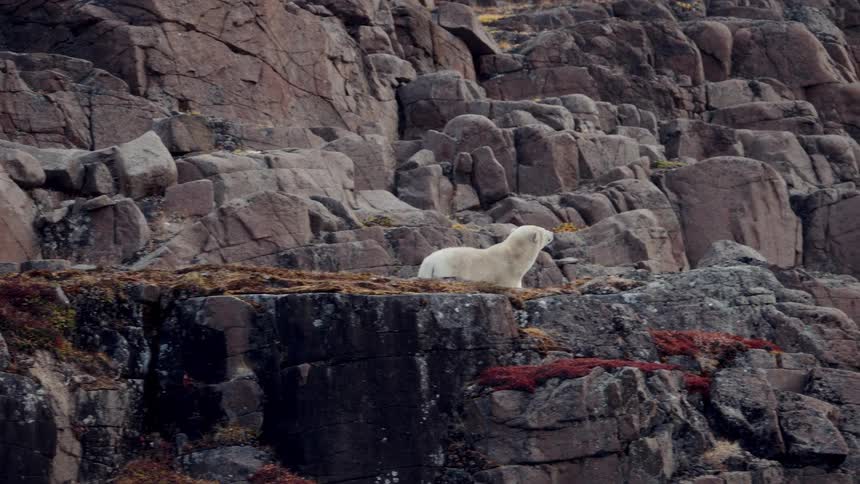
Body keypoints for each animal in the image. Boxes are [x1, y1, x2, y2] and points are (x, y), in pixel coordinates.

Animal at [417, 225, 554, 288]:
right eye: (543, 229)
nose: (552, 233)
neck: (515, 256)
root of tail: (429, 261)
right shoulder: (507, 274)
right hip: (447, 267)